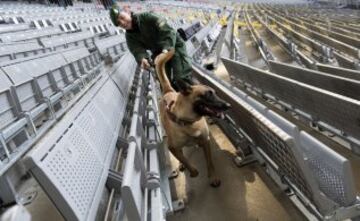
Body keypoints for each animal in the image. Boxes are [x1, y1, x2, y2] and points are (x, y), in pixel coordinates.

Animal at [153, 48, 229, 186]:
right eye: (208, 94)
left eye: (215, 93)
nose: (228, 105)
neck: (189, 122)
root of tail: (168, 91)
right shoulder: (172, 147)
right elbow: (185, 160)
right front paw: (193, 171)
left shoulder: (206, 140)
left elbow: (210, 162)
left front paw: (213, 177)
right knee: (181, 154)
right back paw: (181, 164)